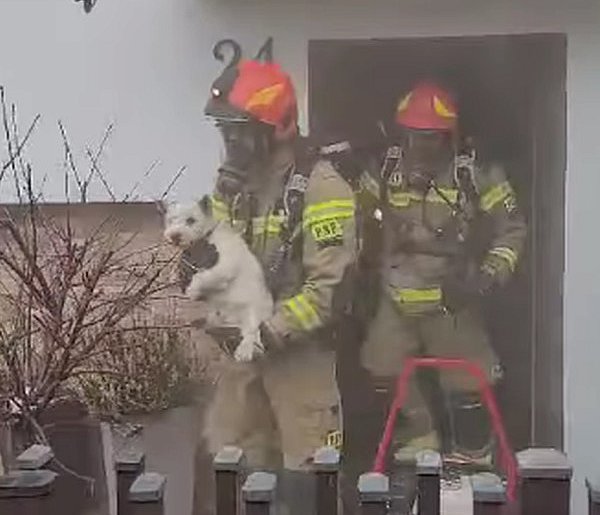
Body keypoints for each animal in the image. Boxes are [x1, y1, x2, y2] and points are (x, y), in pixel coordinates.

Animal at [163, 197, 274, 362]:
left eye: (191, 220)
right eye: (171, 220)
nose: (174, 236)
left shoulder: (224, 262)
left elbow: (206, 275)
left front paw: (192, 290)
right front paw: (173, 276)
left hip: (253, 306)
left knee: (251, 330)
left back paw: (244, 351)